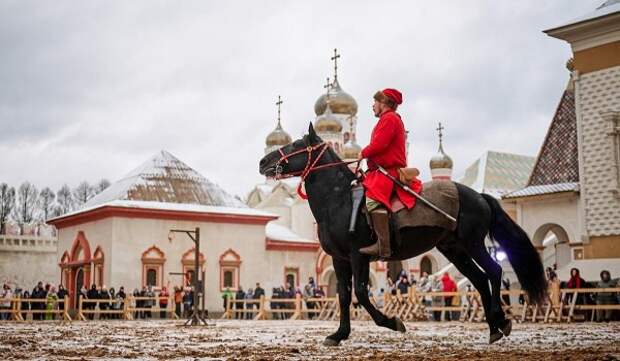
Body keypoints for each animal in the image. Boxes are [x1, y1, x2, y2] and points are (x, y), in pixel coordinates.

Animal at [260, 124, 544, 346]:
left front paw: (393, 322)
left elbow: (361, 293)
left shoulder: (358, 255)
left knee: (494, 272)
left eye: (297, 144)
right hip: (454, 250)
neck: (339, 200)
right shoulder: (339, 260)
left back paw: (500, 320)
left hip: (473, 244)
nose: (263, 162)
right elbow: (343, 295)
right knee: (480, 280)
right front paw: (339, 334)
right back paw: (494, 328)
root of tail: (479, 196)